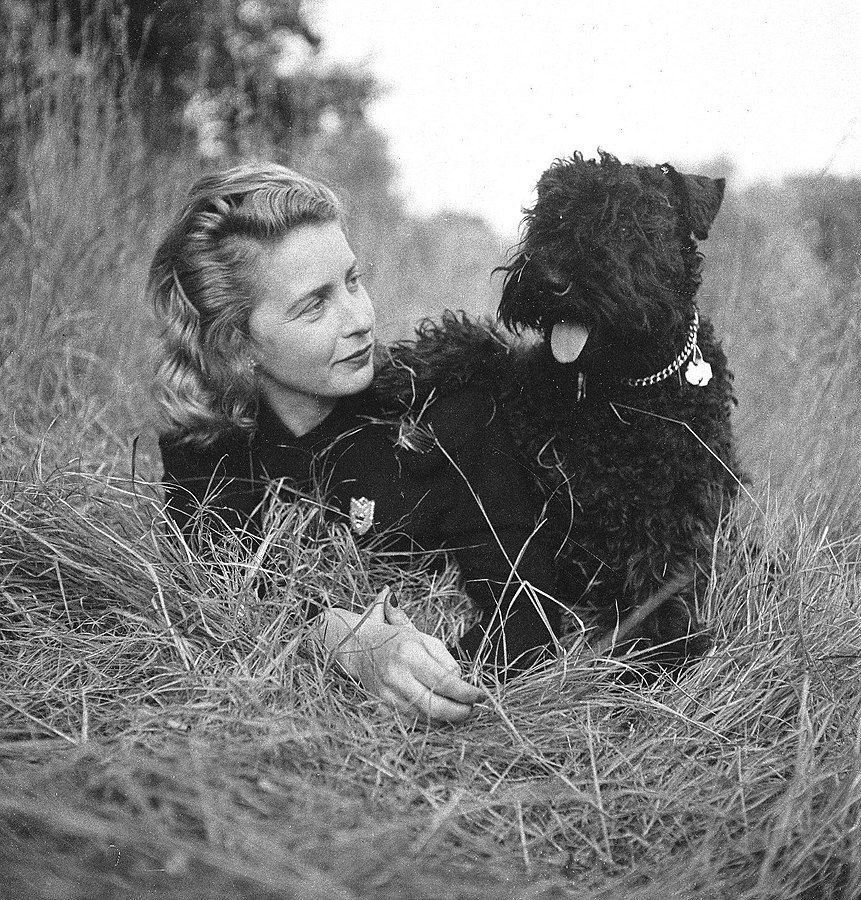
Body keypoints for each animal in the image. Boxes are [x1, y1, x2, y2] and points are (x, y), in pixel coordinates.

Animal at [380, 149, 744, 668]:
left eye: (629, 223)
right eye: (553, 214)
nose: (553, 281)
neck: (619, 396)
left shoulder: (667, 541)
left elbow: (663, 610)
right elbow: (480, 344)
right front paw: (404, 372)